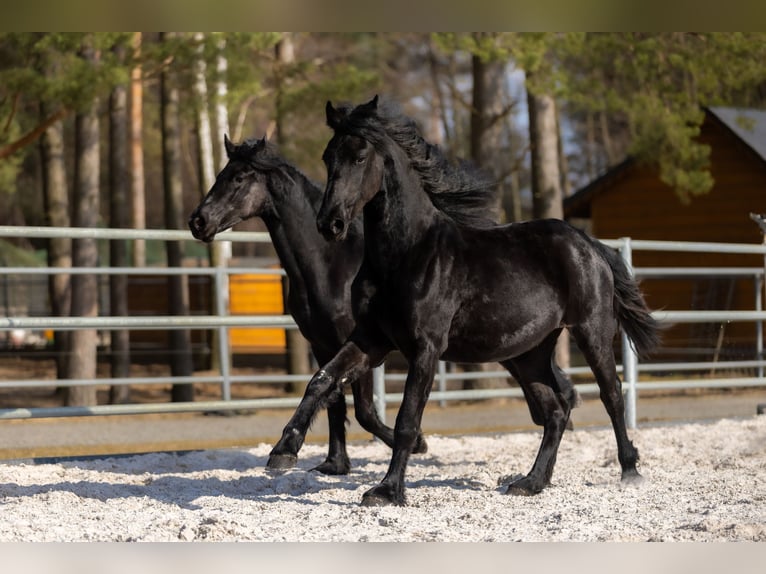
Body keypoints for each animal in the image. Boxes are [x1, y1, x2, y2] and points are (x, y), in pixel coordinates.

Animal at [188, 135, 429, 474]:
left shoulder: (358, 343)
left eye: (239, 178)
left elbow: (364, 411)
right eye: (220, 175)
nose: (198, 221)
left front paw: (418, 442)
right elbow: (332, 400)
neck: (331, 268)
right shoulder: (321, 345)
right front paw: (334, 463)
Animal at [269, 95, 660, 506]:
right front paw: (283, 451)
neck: (406, 254)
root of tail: (590, 244)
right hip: (530, 352)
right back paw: (531, 482)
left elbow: (408, 420)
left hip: (591, 331)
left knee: (611, 395)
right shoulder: (371, 340)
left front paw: (387, 491)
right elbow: (322, 379)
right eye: (329, 156)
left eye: (360, 157)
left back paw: (630, 471)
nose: (330, 224)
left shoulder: (424, 348)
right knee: (555, 409)